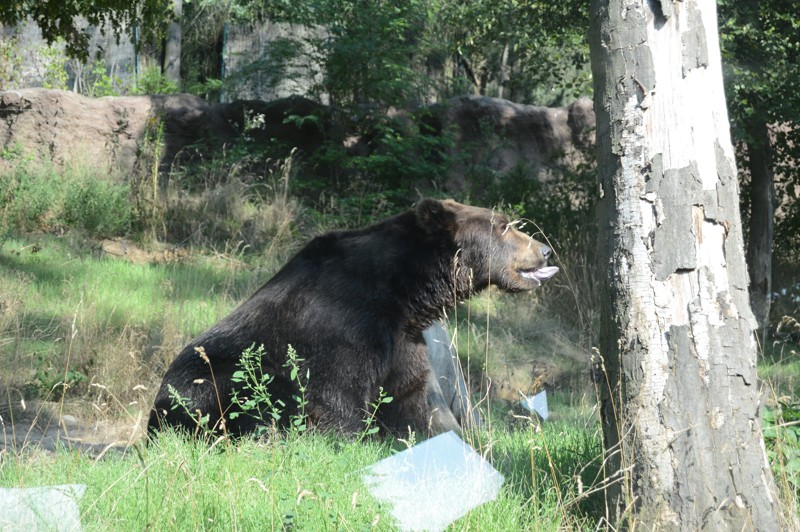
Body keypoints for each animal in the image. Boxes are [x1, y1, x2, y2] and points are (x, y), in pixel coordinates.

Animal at [147, 197, 556, 438]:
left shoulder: (402, 339)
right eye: (504, 226)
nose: (545, 249)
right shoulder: (341, 326)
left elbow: (413, 398)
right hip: (216, 378)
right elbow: (337, 398)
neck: (403, 291)